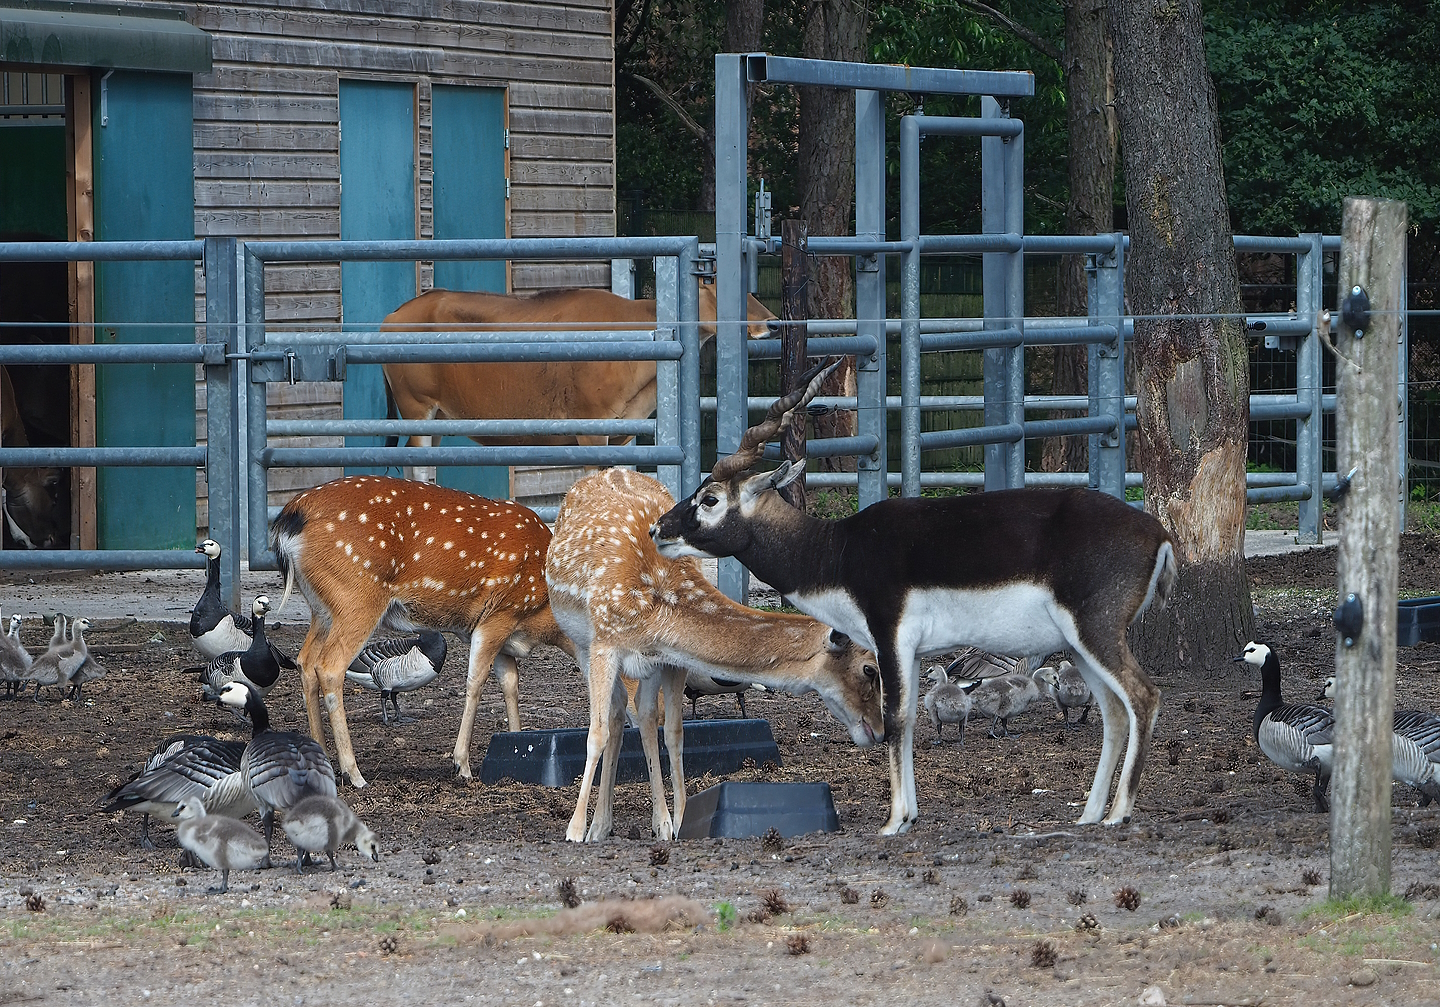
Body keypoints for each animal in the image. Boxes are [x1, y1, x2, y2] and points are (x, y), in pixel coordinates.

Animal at [271, 475, 574, 787]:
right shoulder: (499, 615)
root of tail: (290, 518)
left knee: (305, 661)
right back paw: (353, 773)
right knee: (329, 667)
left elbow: (510, 684)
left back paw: (321, 761)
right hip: (355, 597)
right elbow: (476, 682)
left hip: (321, 608)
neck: (539, 616)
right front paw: (461, 764)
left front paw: (515, 742)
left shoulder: (504, 632)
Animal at [545, 467, 885, 843]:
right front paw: (574, 830)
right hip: (580, 643)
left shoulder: (671, 659)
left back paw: (640, 823)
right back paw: (598, 826)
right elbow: (596, 733)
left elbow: (674, 733)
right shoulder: (603, 643)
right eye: (869, 669)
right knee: (617, 714)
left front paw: (680, 820)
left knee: (639, 715)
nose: (879, 729)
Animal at [650, 362, 1177, 835]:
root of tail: (1158, 534)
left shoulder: (889, 635)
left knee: (1143, 698)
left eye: (710, 498)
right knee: (1114, 713)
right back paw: (1090, 815)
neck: (837, 552)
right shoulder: (914, 650)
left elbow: (894, 719)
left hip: (1095, 632)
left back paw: (1119, 813)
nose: (658, 529)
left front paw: (892, 822)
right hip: (1079, 644)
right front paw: (911, 816)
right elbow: (906, 723)